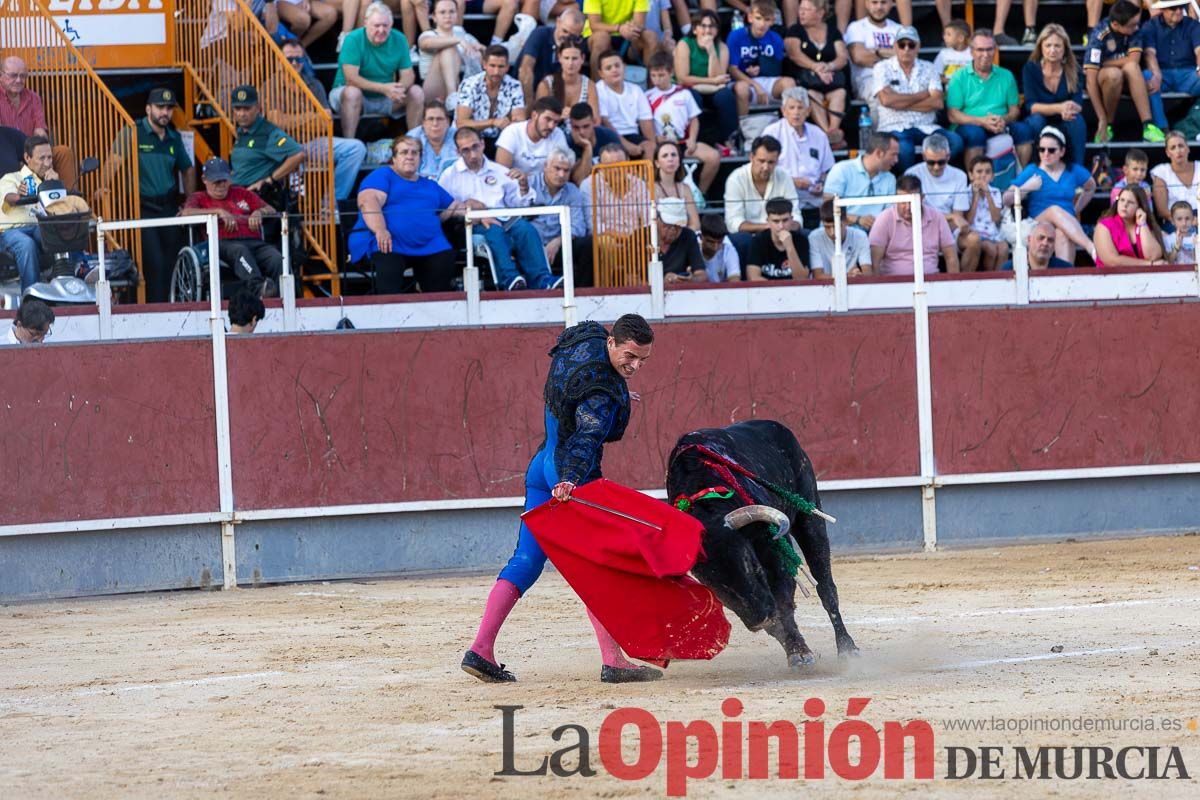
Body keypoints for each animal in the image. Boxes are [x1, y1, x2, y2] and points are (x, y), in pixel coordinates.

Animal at [667, 422, 864, 666]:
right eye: (714, 585)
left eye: (751, 565)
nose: (760, 618)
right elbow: (775, 622)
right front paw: (795, 650)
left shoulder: (776, 552)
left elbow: (783, 602)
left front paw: (801, 653)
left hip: (810, 516)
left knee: (826, 586)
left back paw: (847, 648)